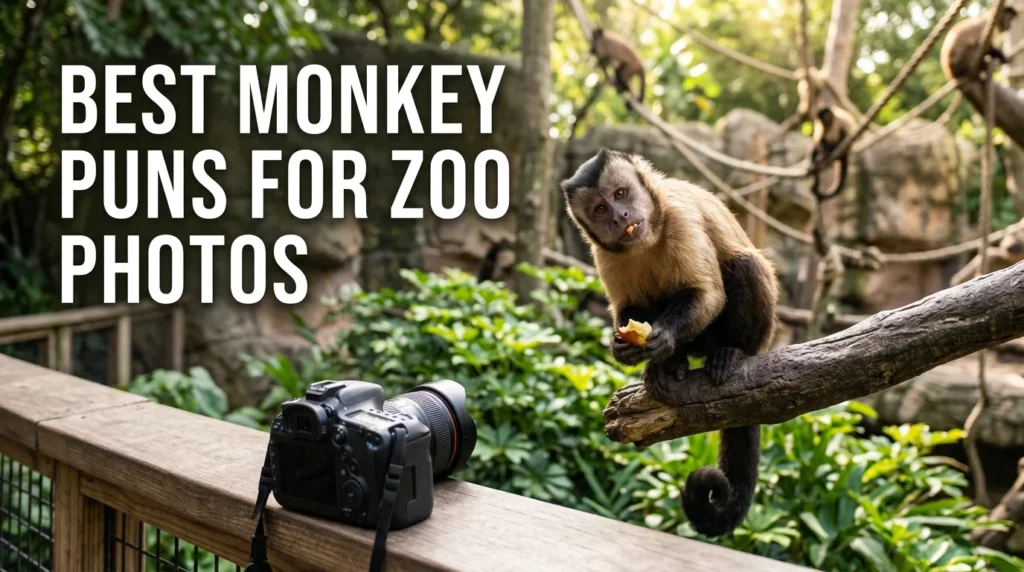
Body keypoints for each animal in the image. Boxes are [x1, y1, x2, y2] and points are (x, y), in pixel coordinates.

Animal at [560, 149, 778, 537]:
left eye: (620, 194)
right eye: (600, 209)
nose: (620, 216)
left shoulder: (681, 218)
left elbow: (707, 294)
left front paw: (664, 337)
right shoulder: (605, 252)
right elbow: (626, 308)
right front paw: (624, 349)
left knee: (745, 265)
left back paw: (731, 353)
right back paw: (669, 364)